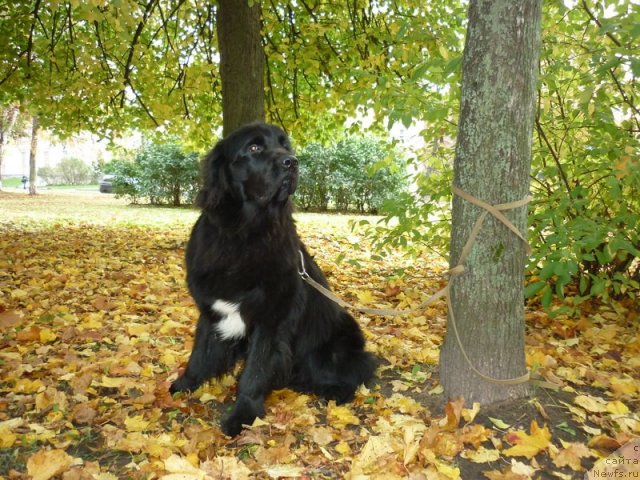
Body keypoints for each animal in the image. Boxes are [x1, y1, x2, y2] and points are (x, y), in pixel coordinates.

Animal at [172, 121, 378, 436]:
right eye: (254, 147)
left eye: (285, 146)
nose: (292, 162)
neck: (245, 234)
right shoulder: (212, 311)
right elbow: (200, 353)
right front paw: (185, 384)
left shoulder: (270, 320)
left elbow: (255, 372)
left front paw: (242, 415)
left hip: (332, 346)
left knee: (358, 371)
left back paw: (334, 391)